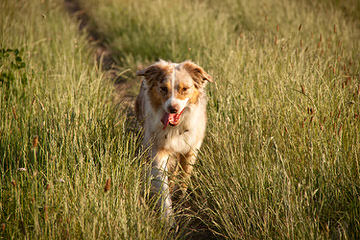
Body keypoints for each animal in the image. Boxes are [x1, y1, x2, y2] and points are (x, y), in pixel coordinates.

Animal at [136, 59, 214, 219]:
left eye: (185, 89)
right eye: (163, 89)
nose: (172, 109)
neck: (175, 128)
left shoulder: (191, 150)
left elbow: (184, 177)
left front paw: (181, 198)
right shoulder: (158, 150)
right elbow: (163, 186)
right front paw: (168, 217)